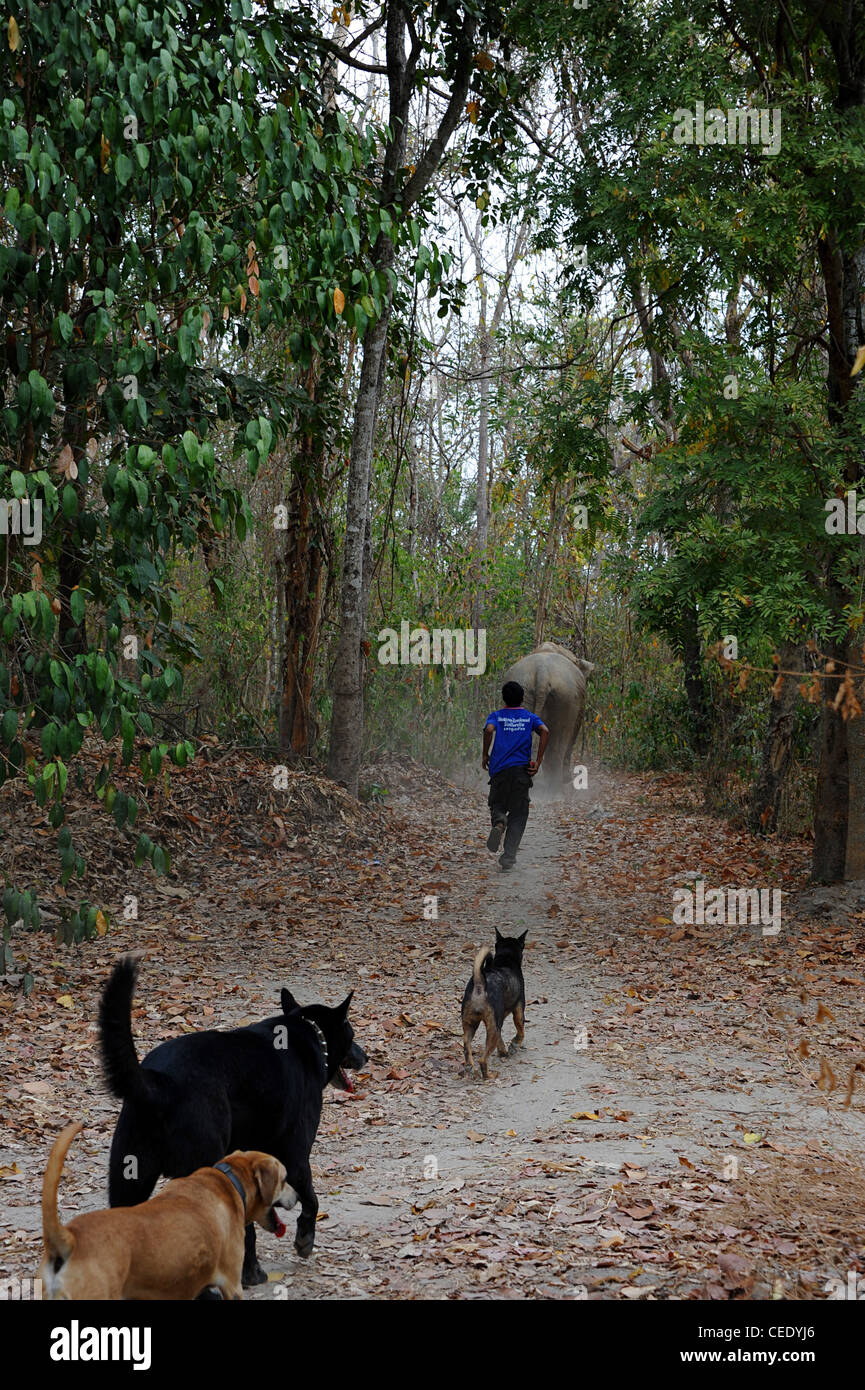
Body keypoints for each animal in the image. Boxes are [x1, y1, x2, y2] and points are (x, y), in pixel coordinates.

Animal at [99, 961, 369, 1284]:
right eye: (352, 1033)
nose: (366, 1055)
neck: (308, 1031)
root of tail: (157, 1082)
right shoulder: (295, 1156)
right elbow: (311, 1199)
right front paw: (305, 1239)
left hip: (129, 1177)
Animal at [461, 928, 528, 1078]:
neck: (506, 958)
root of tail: (480, 983)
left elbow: (501, 1040)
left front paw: (503, 1052)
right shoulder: (519, 1011)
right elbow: (521, 1031)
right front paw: (514, 1045)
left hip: (471, 1025)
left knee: (467, 1048)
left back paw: (469, 1067)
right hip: (493, 1027)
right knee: (482, 1060)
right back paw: (489, 1076)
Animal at [500, 642, 595, 789]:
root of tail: (542, 673)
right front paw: (567, 779)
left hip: (524, 694)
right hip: (566, 698)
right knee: (560, 743)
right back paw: (556, 787)